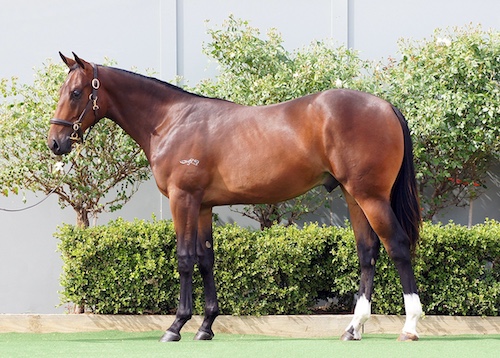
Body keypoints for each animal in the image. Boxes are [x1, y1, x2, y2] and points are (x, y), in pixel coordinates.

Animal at [47, 52, 422, 342]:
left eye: (77, 92)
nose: (54, 142)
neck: (171, 121)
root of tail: (386, 107)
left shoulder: (183, 199)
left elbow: (184, 259)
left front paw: (176, 326)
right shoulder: (202, 205)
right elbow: (205, 260)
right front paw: (206, 327)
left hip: (370, 196)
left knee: (398, 247)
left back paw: (410, 327)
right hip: (353, 195)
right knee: (367, 253)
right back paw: (353, 328)